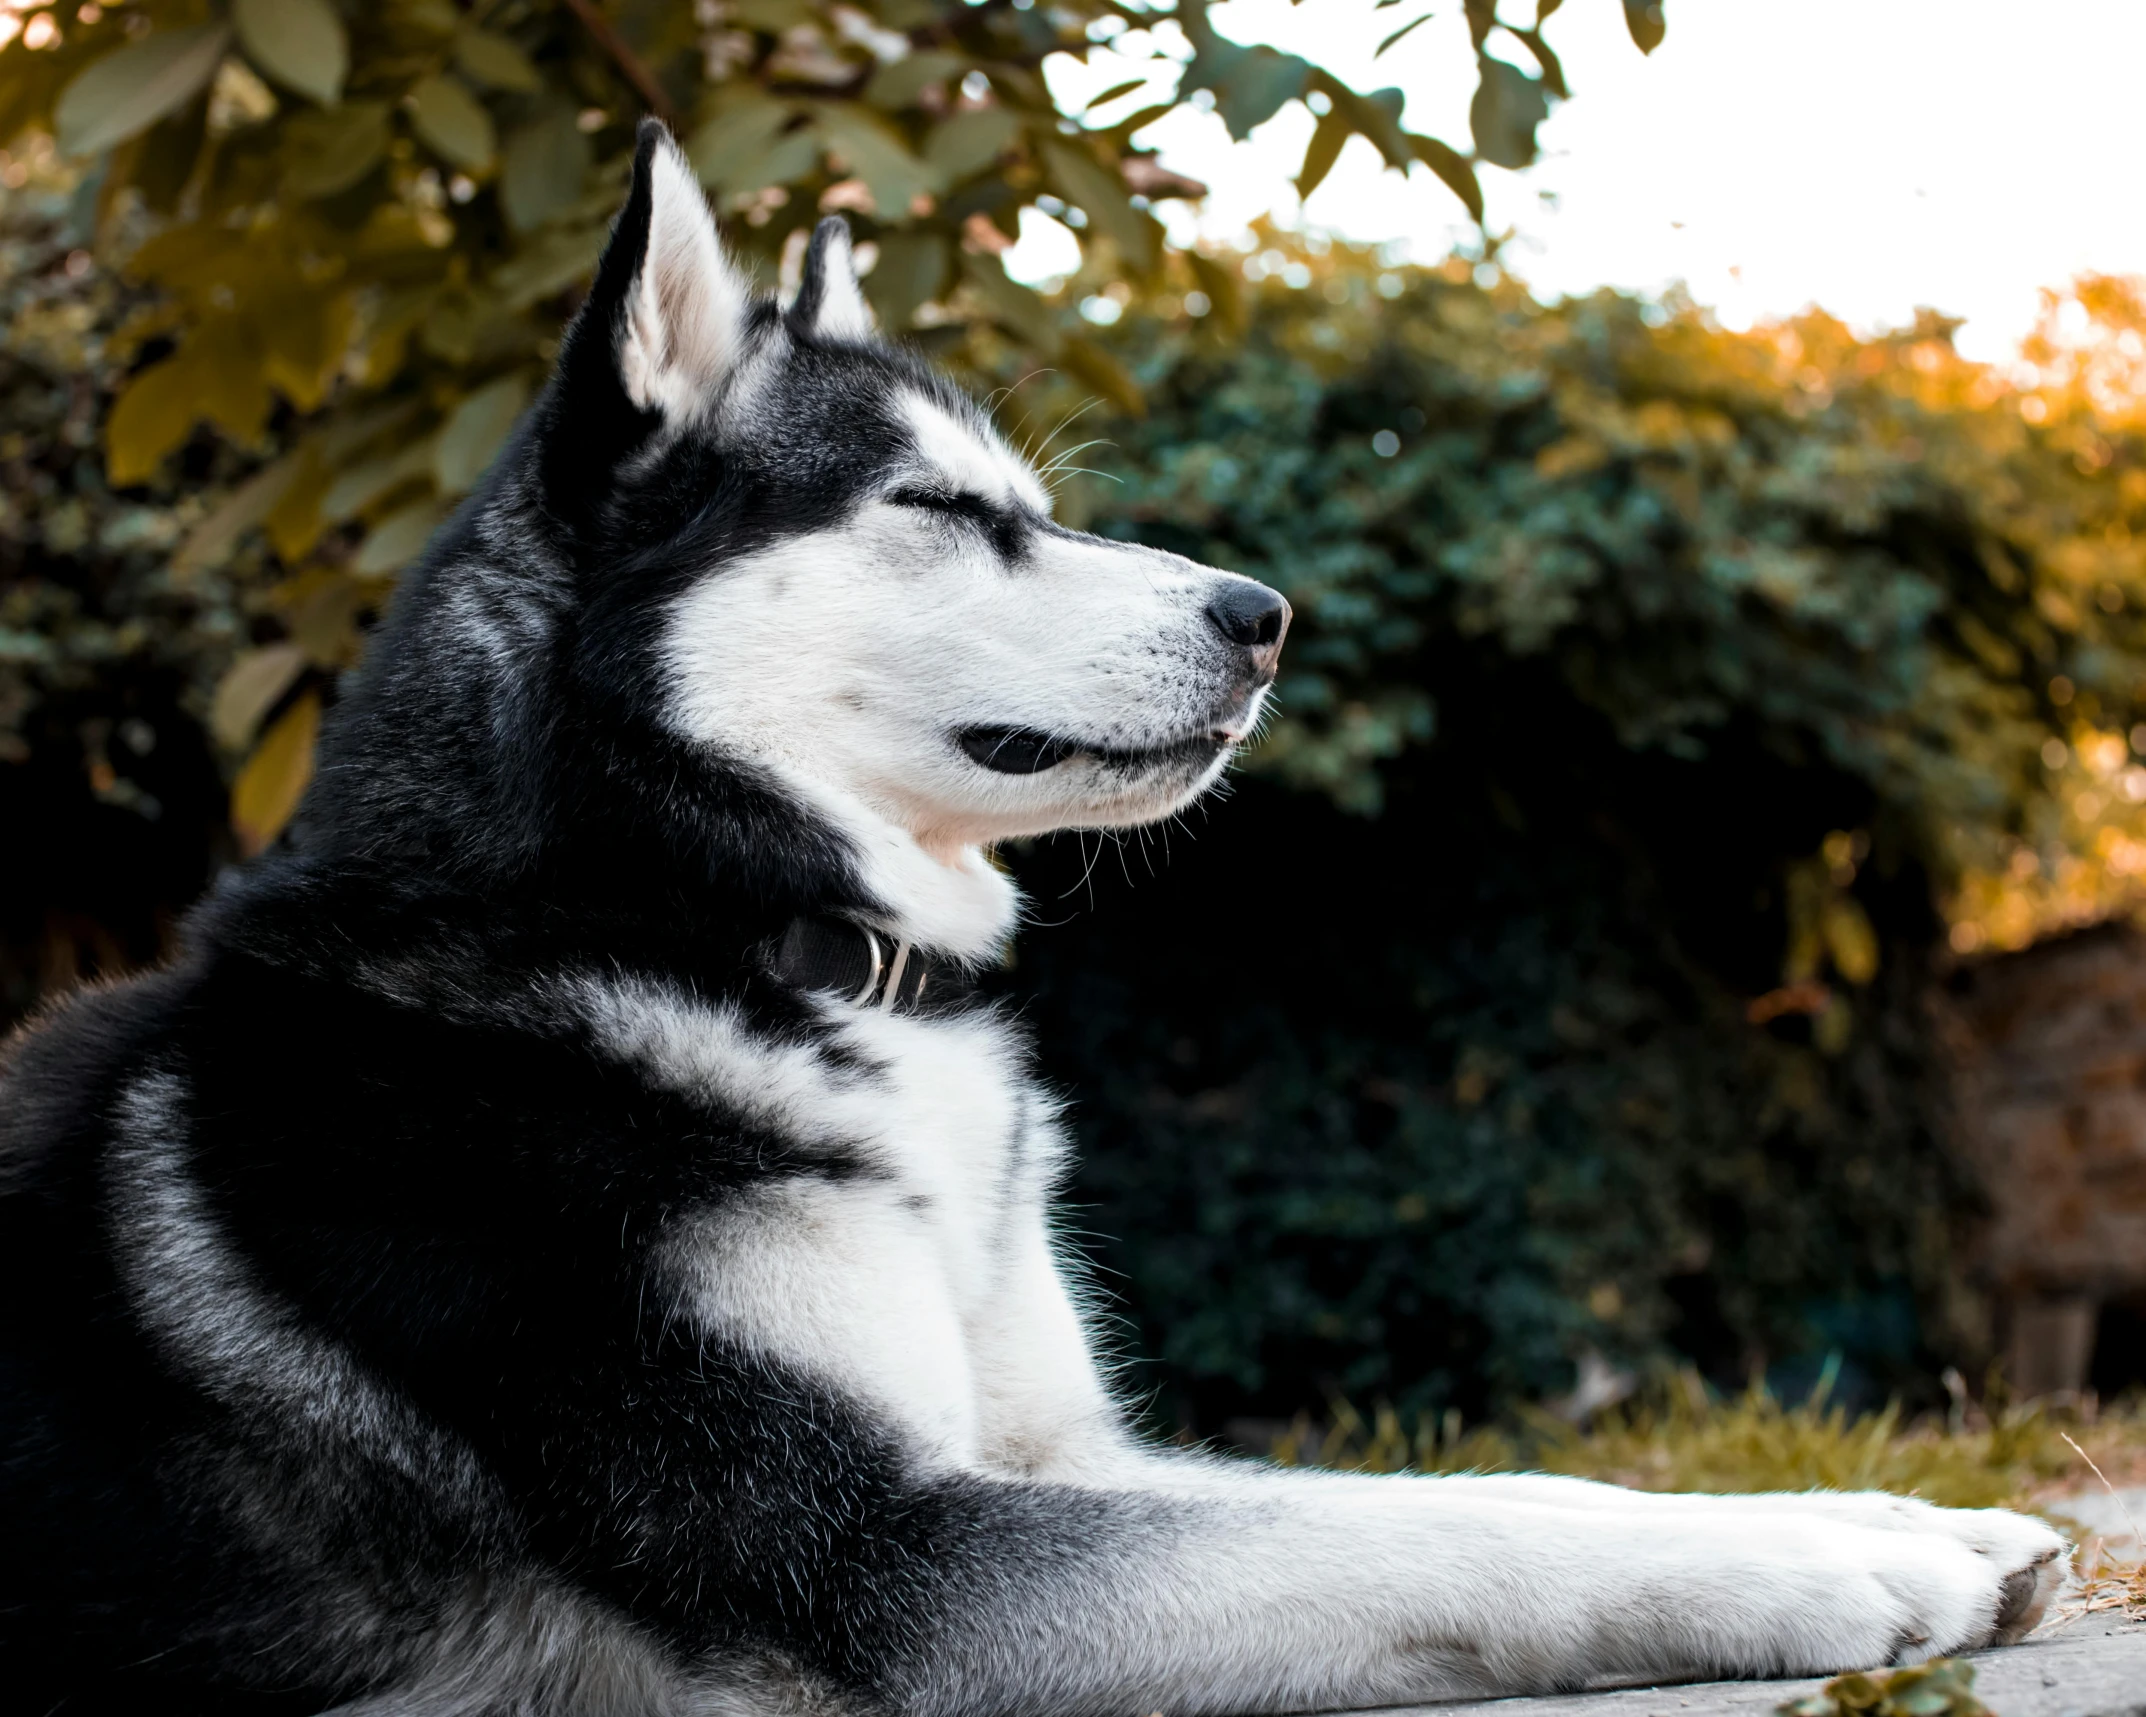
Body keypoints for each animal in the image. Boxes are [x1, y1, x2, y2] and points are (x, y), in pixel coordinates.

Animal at [0, 123, 2068, 1717]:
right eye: (936, 505)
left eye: (1034, 503)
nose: (1267, 614)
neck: (723, 920)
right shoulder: (879, 1553)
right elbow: (1450, 1525)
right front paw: (1825, 1575)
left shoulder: (1071, 1455)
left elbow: (1525, 1483)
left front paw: (1895, 1517)